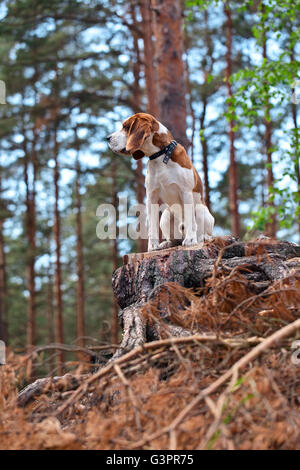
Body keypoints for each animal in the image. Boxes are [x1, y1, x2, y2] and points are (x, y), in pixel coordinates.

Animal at [107, 112, 213, 252]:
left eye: (125, 127)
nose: (107, 138)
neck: (161, 155)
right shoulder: (151, 196)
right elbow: (152, 225)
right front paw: (152, 246)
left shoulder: (186, 192)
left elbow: (190, 220)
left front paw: (190, 240)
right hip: (166, 215)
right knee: (176, 239)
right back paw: (167, 243)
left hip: (200, 209)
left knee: (202, 231)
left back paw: (202, 238)